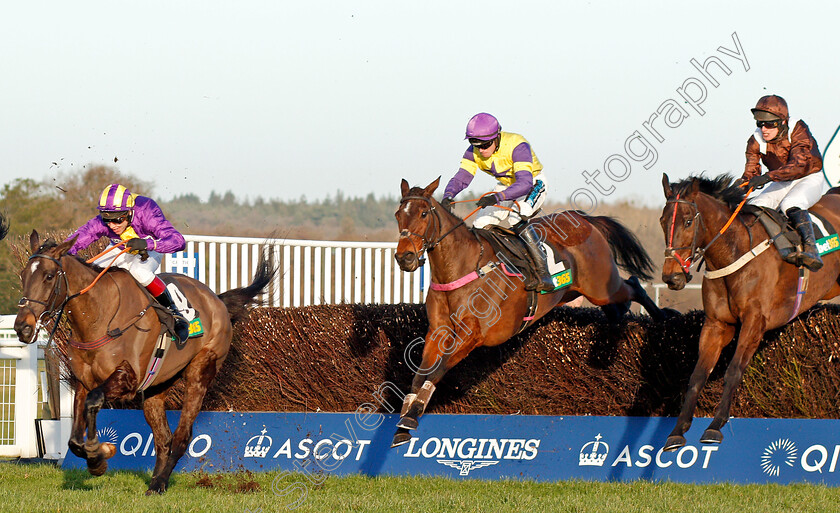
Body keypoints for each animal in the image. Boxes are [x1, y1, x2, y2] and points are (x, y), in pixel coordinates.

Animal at [13, 230, 276, 490]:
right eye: (24, 276)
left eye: (48, 276)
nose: (22, 327)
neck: (100, 316)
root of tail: (216, 299)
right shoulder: (84, 381)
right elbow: (75, 439)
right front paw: (97, 456)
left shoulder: (128, 378)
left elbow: (94, 400)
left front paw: (98, 454)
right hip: (156, 387)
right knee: (163, 438)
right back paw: (156, 479)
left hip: (201, 371)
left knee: (181, 436)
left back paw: (159, 483)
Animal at [390, 177, 668, 444]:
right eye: (398, 214)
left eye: (423, 214)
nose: (405, 258)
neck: (461, 268)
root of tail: (584, 220)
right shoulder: (438, 332)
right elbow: (419, 375)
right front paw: (404, 422)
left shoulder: (472, 335)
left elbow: (437, 370)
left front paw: (412, 416)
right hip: (578, 291)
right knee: (617, 306)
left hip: (599, 286)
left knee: (633, 285)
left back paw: (662, 318)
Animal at [660, 173, 840, 448]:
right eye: (662, 221)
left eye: (688, 221)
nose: (671, 277)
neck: (734, 252)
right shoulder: (716, 324)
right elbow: (697, 376)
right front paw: (677, 432)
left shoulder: (755, 321)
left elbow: (734, 371)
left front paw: (715, 426)